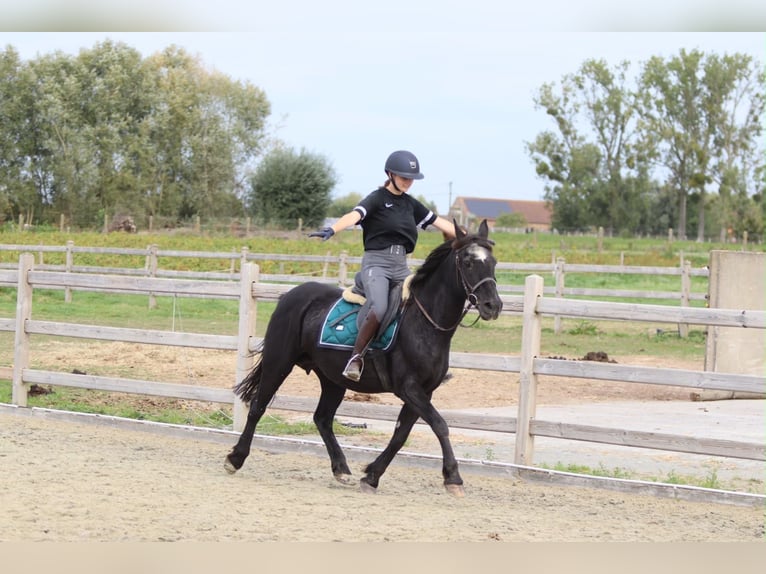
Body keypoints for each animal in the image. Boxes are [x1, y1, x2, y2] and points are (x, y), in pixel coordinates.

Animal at [224, 219, 503, 496]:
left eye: (493, 262)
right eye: (468, 262)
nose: (493, 306)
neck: (424, 322)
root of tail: (292, 295)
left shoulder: (425, 391)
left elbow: (401, 435)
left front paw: (372, 476)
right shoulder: (409, 388)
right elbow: (440, 424)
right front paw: (453, 477)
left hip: (333, 379)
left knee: (322, 419)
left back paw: (341, 469)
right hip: (279, 362)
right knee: (258, 406)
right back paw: (235, 458)